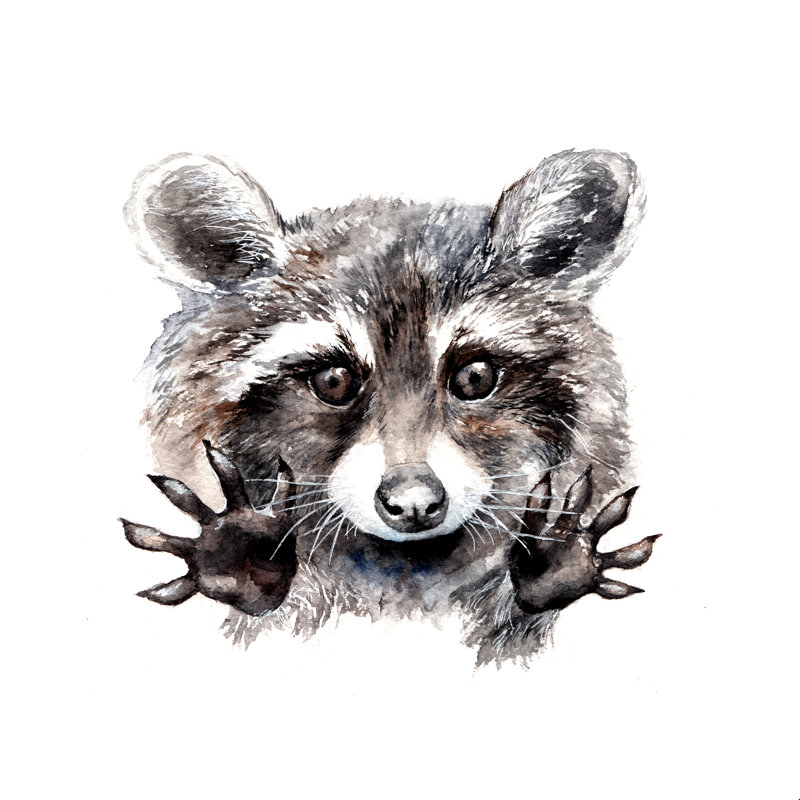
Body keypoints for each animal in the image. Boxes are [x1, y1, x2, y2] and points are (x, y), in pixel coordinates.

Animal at [121, 149, 658, 664]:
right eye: (334, 381)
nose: (413, 501)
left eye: (475, 378)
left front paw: (549, 562)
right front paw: (247, 557)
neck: (404, 563)